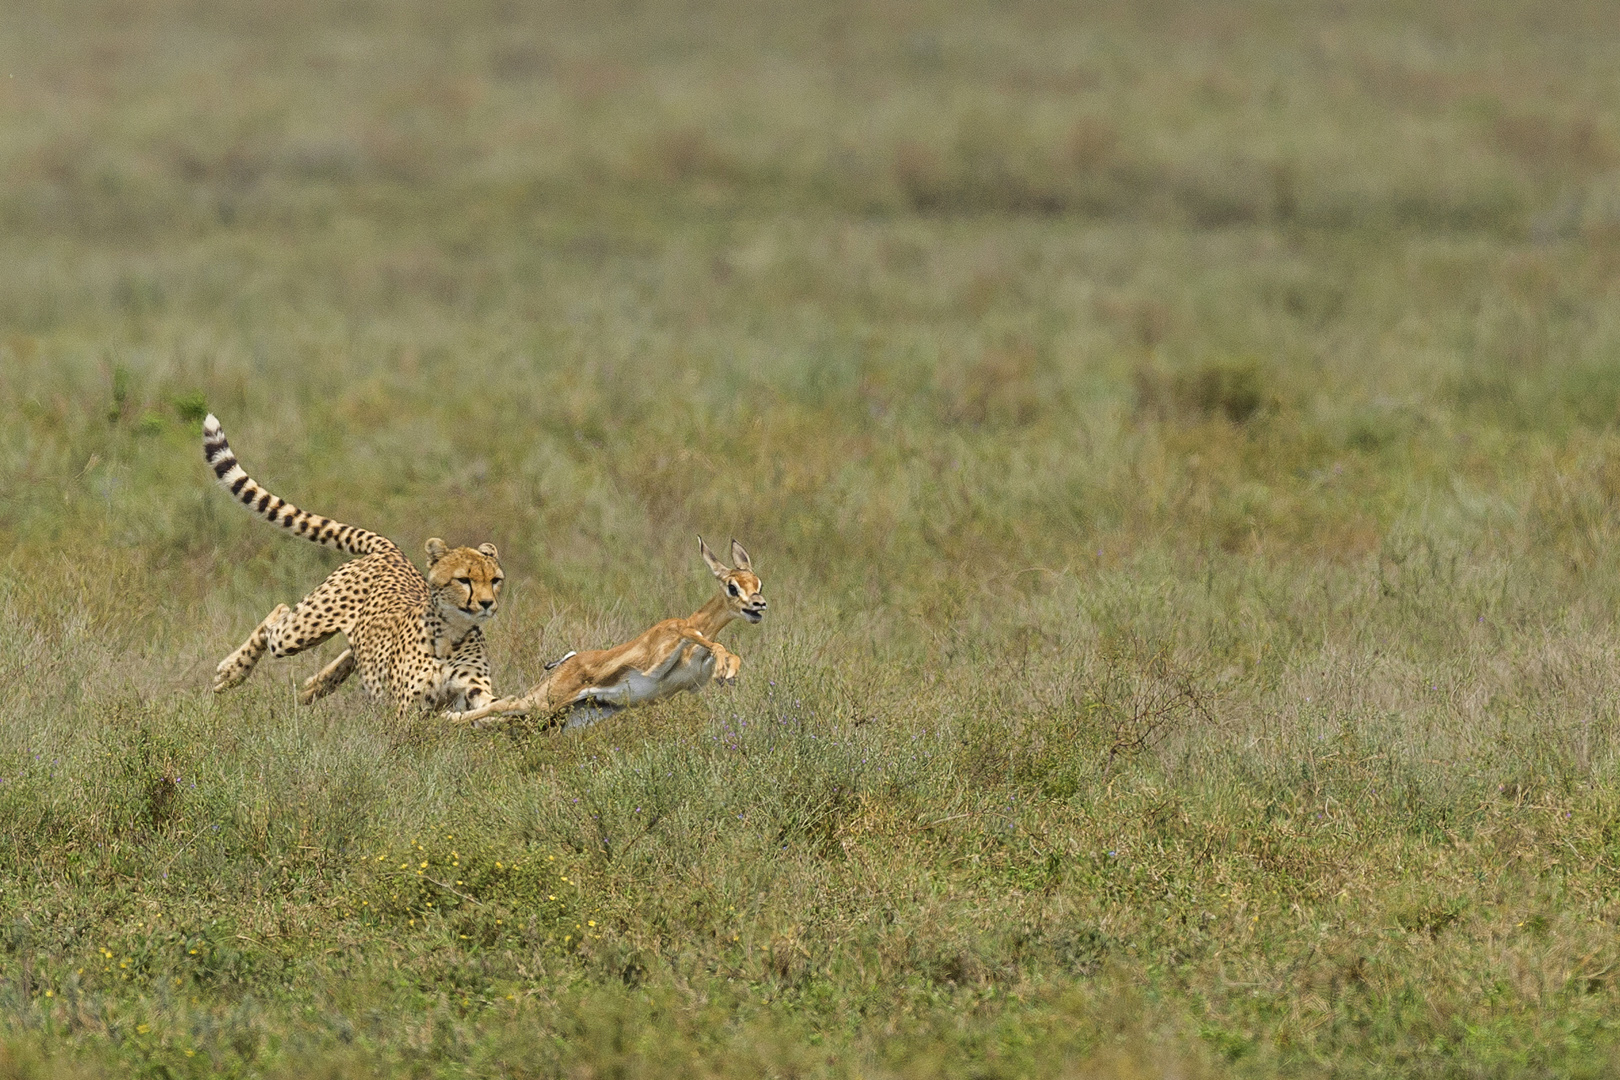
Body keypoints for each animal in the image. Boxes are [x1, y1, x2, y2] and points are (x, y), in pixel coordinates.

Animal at [202, 413, 505, 721]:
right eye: (464, 580)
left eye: (495, 580)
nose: (486, 604)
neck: (452, 633)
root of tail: (391, 549)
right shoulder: (406, 714)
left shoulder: (472, 689)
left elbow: (488, 707)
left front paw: (512, 708)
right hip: (299, 631)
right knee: (278, 615)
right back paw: (232, 672)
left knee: (351, 650)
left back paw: (318, 684)